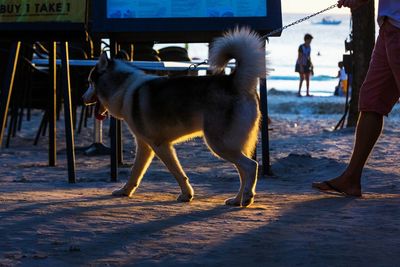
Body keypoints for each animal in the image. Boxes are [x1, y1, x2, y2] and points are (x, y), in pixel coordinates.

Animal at [83, 27, 266, 207]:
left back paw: (247, 197)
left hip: (220, 144)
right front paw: (125, 191)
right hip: (231, 145)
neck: (125, 88)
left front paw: (186, 194)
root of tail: (233, 81)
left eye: (90, 82)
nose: (83, 99)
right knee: (243, 171)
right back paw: (237, 199)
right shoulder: (145, 146)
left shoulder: (160, 145)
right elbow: (135, 173)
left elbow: (177, 172)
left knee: (251, 166)